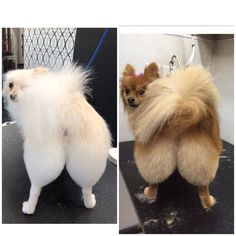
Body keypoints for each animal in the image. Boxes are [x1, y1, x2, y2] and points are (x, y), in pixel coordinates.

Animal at [2, 65, 111, 215]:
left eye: (25, 87)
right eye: (11, 85)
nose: (12, 96)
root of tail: (68, 115)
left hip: (43, 158)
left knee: (35, 187)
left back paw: (29, 207)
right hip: (88, 159)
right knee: (87, 187)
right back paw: (90, 202)